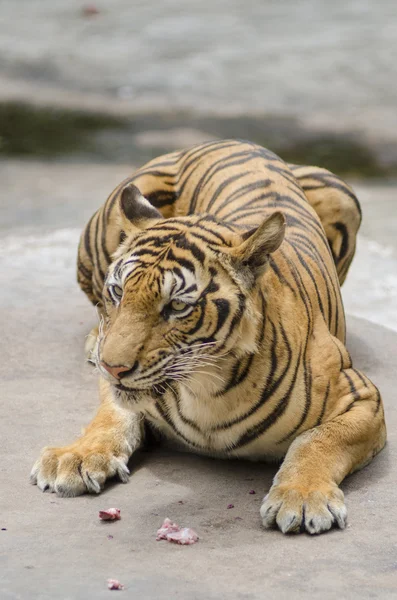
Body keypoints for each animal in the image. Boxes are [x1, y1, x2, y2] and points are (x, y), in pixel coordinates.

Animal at [31, 139, 384, 536]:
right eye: (119, 292)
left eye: (176, 306)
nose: (111, 366)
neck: (207, 390)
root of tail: (233, 141)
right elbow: (110, 416)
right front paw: (77, 457)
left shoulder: (362, 397)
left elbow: (317, 439)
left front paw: (303, 496)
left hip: (342, 194)